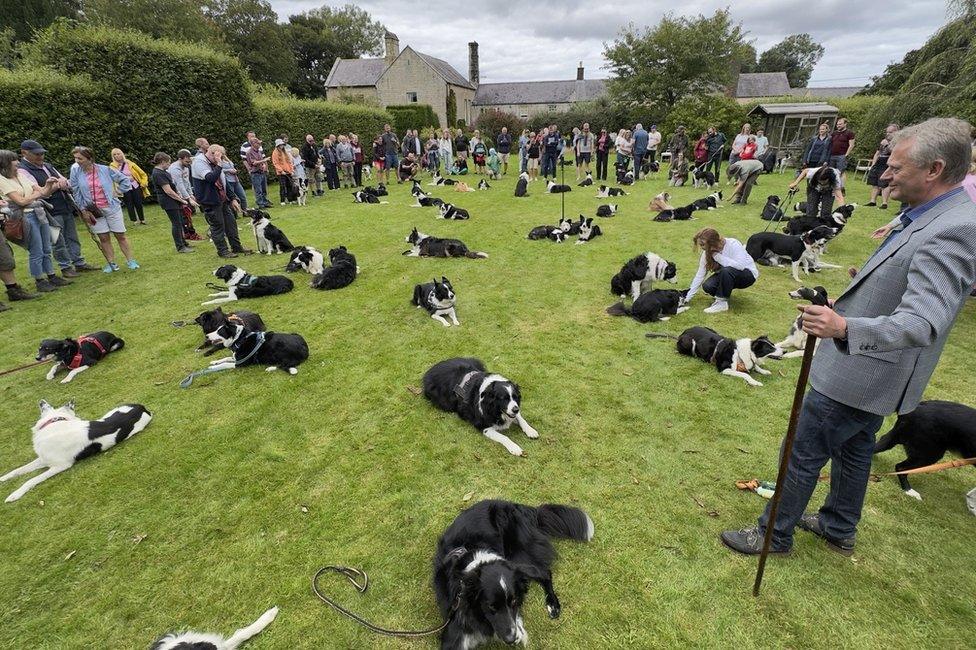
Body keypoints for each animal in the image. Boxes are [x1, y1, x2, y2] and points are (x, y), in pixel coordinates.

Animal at [0, 400, 152, 502]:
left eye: (48, 406)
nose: (42, 401)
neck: (55, 422)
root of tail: (142, 407)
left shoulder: (60, 466)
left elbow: (31, 480)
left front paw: (15, 494)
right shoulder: (43, 459)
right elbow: (18, 470)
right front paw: (3, 478)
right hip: (109, 413)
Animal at [434, 498, 596, 644]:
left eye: (513, 601)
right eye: (491, 606)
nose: (512, 639)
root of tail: (521, 508)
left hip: (519, 555)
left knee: (545, 573)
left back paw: (553, 605)